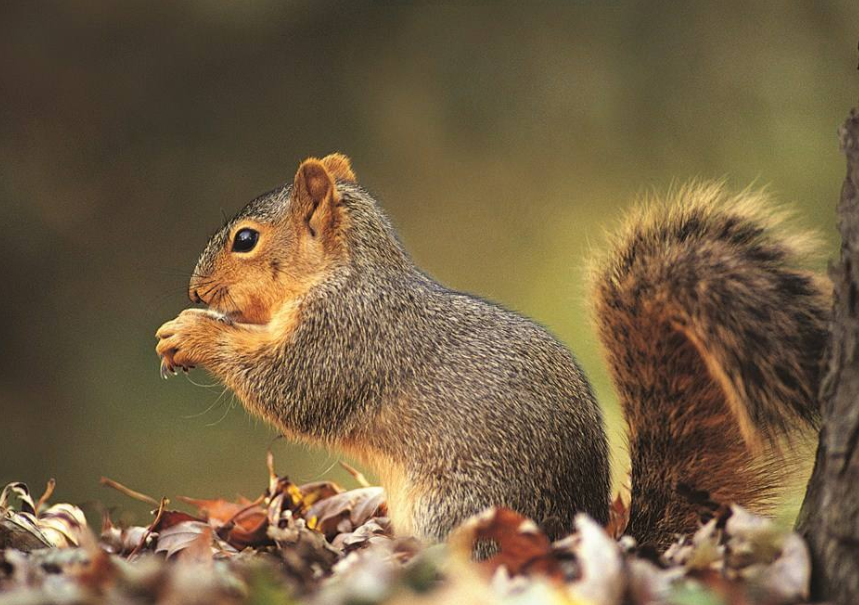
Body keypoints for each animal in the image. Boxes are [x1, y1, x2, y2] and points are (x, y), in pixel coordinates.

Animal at [158, 153, 828, 548]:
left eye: (246, 240)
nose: (194, 290)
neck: (345, 273)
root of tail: (571, 535)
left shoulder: (345, 337)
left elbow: (289, 387)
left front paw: (191, 332)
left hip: (455, 508)